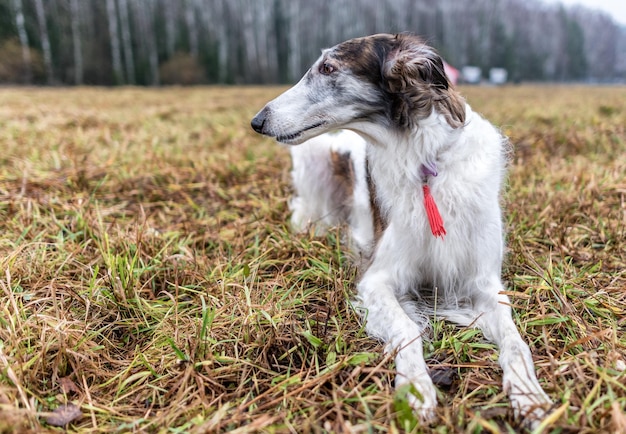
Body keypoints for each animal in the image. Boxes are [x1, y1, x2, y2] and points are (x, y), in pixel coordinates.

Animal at [251, 33, 548, 424]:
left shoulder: (484, 282)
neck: (423, 160)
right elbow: (408, 328)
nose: (257, 121)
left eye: (328, 68)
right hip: (313, 162)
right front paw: (416, 388)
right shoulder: (377, 280)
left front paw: (528, 393)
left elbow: (515, 341)